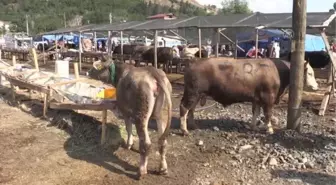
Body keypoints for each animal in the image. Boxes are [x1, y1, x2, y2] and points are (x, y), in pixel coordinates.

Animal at [178, 57, 318, 136]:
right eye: (310, 73)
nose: (316, 86)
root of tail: (193, 63)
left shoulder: (257, 99)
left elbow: (256, 112)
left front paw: (254, 126)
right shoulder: (268, 98)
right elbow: (268, 114)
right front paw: (269, 129)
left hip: (197, 94)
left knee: (191, 109)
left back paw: (193, 126)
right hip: (192, 92)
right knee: (184, 108)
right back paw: (184, 130)